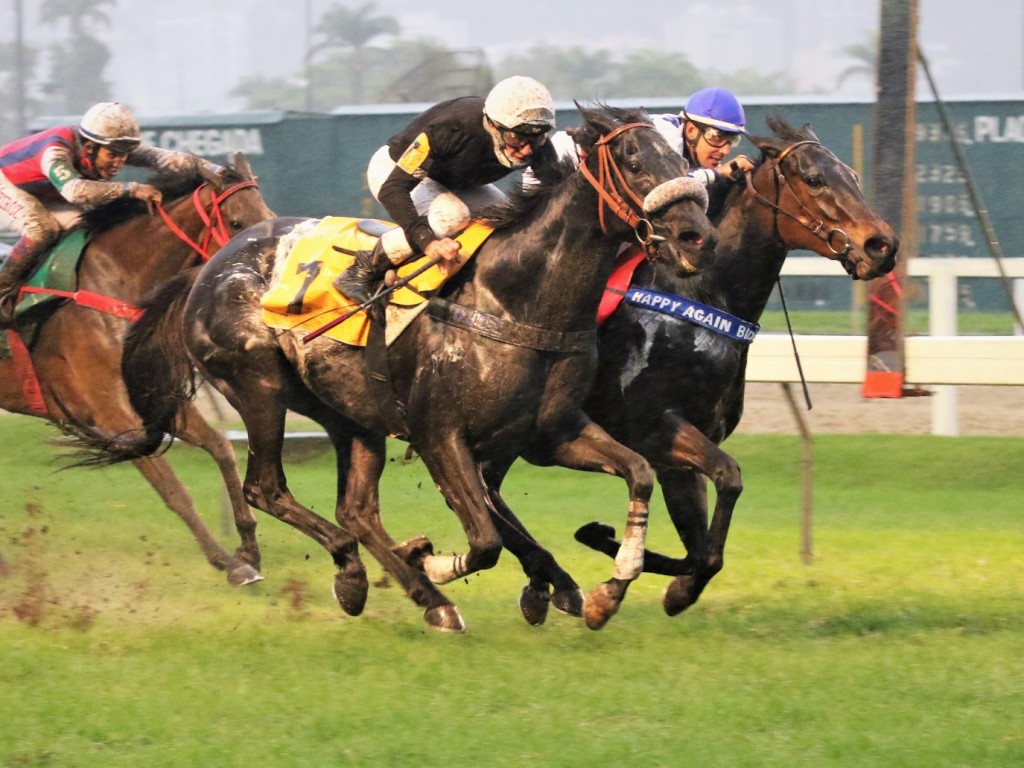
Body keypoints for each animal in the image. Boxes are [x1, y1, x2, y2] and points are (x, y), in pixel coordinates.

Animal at [0, 156, 274, 589]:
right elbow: (173, 489)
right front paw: (229, 563)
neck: (113, 285)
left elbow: (221, 447)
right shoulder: (113, 416)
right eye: (236, 223)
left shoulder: (150, 397)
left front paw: (248, 547)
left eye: (269, 217)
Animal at [83, 103, 716, 630]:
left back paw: (417, 593)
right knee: (266, 487)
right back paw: (362, 574)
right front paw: (434, 561)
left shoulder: (551, 432)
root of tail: (208, 267)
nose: (695, 237)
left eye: (682, 160)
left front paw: (610, 588)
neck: (517, 297)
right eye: (633, 160)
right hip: (257, 386)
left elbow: (638, 471)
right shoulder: (441, 436)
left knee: (356, 508)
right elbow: (485, 538)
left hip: (346, 412)